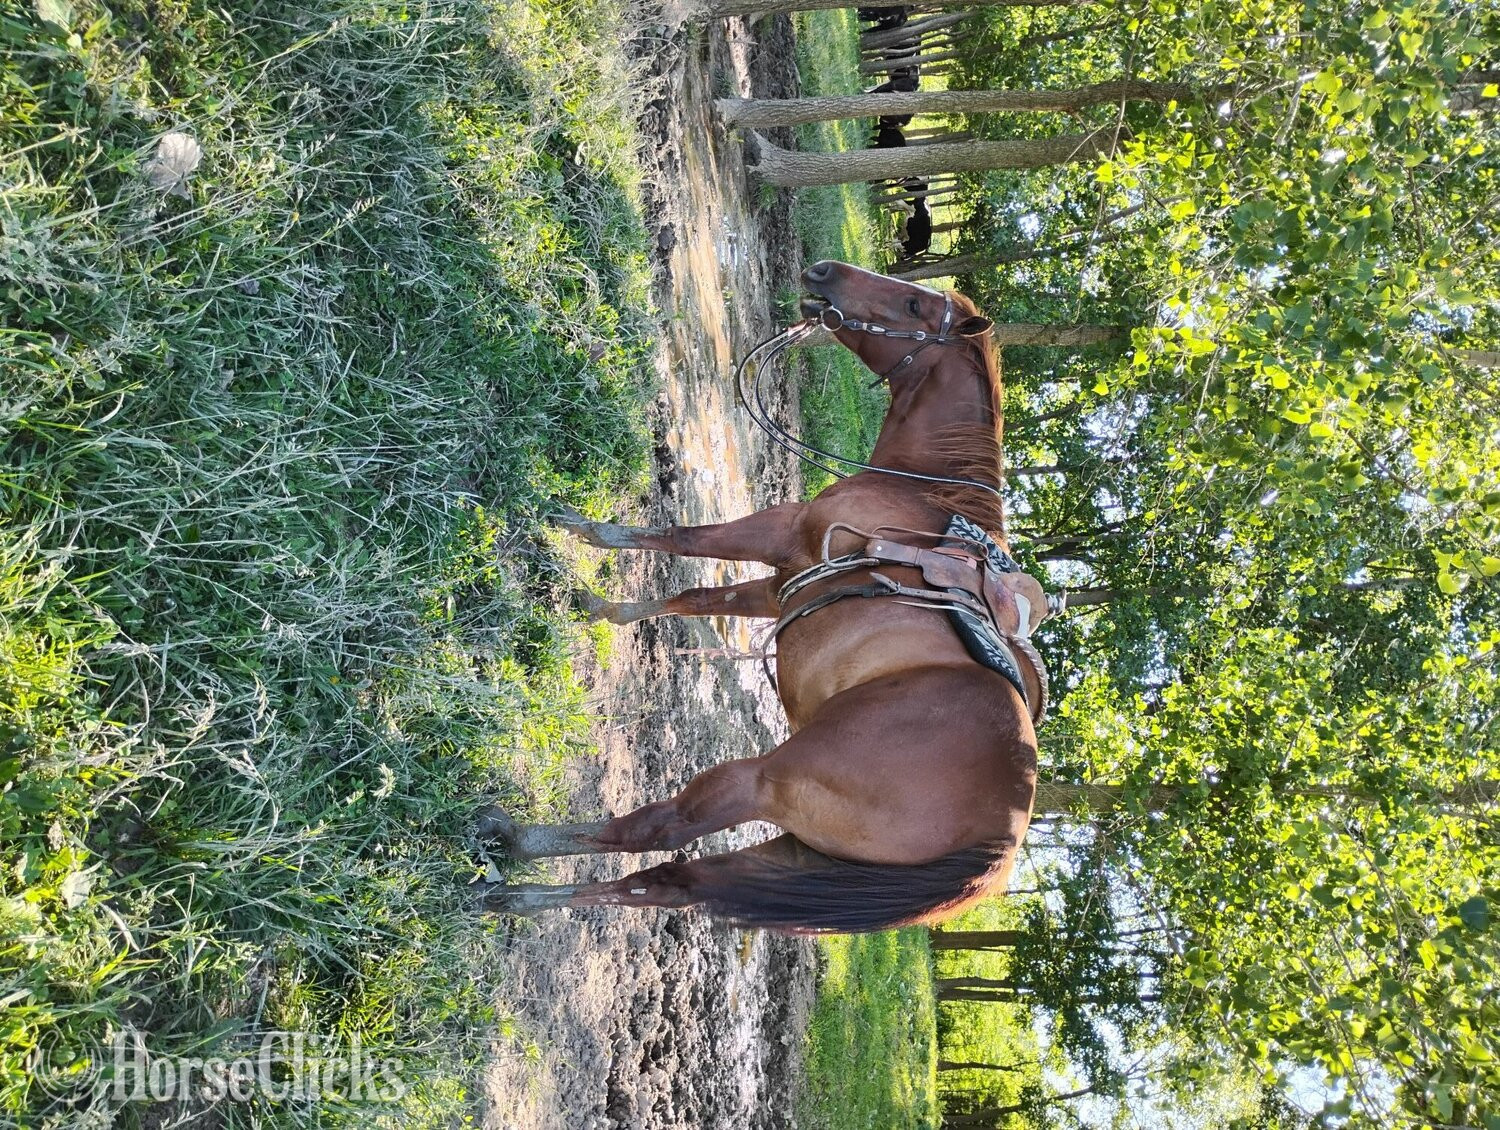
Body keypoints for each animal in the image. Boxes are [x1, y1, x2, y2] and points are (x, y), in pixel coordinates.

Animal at [473, 261, 1051, 934]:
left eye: (914, 305)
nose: (824, 272)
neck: (920, 497)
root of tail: (998, 842)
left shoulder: (779, 531)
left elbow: (682, 540)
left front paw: (583, 531)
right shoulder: (781, 587)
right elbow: (695, 597)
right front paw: (605, 608)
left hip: (766, 781)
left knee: (656, 831)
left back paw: (512, 841)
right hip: (799, 846)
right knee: (667, 884)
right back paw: (517, 894)